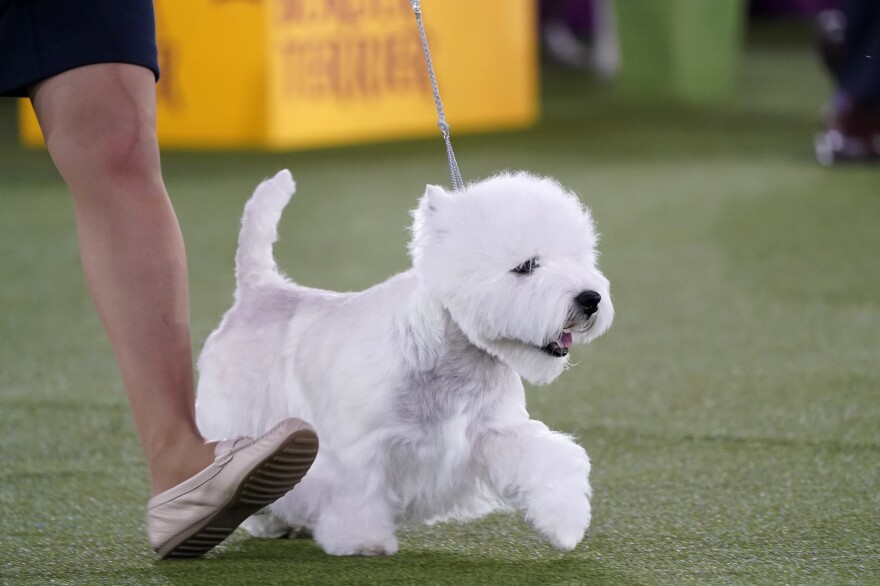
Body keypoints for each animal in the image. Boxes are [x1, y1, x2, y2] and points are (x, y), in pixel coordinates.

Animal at [197, 168, 616, 552]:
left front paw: (566, 523)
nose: (590, 298)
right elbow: (358, 491)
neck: (457, 359)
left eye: (578, 257)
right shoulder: (361, 447)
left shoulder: (494, 432)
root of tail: (259, 288)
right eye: (526, 265)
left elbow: (548, 459)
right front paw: (362, 540)